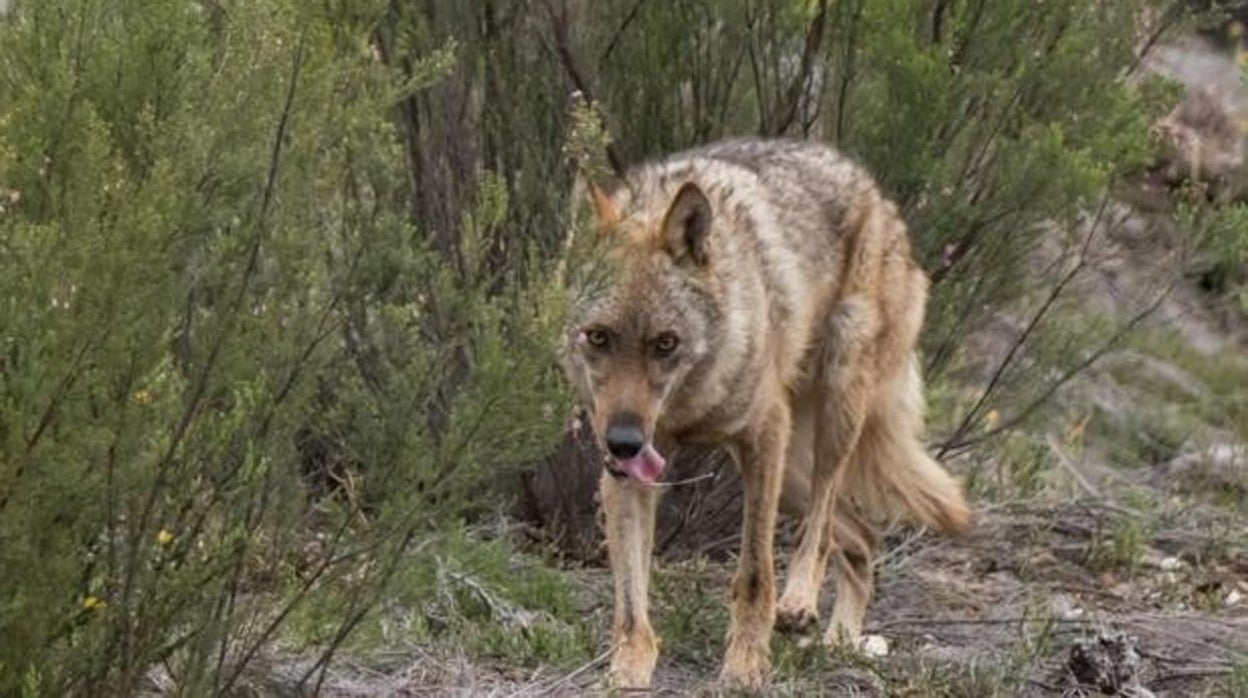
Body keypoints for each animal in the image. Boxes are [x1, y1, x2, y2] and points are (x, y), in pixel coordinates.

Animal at [561, 139, 968, 689]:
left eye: (665, 343)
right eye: (598, 337)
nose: (623, 442)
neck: (689, 403)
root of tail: (878, 195)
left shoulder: (762, 435)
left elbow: (754, 571)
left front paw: (746, 665)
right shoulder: (628, 474)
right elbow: (630, 601)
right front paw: (627, 669)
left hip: (831, 410)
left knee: (821, 524)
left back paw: (799, 601)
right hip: (790, 472)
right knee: (863, 538)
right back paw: (840, 642)